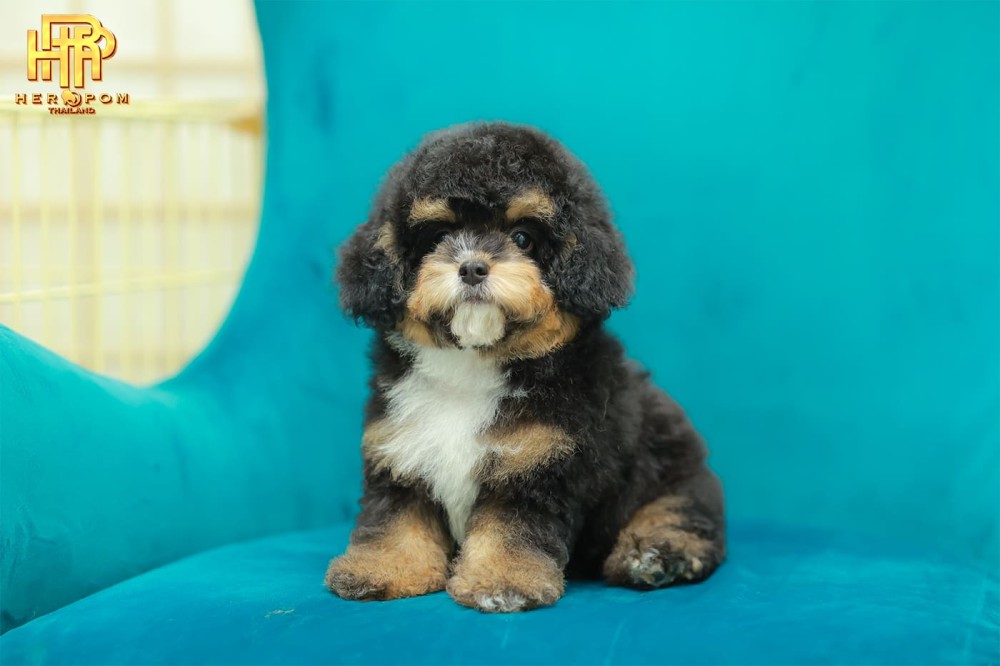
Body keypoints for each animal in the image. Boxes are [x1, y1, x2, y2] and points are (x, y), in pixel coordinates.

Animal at [325, 122, 725, 613]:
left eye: (522, 238)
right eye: (438, 235)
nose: (472, 267)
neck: (471, 367)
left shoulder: (536, 463)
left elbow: (510, 529)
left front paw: (502, 582)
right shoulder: (400, 449)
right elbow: (396, 517)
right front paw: (381, 568)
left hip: (674, 475)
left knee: (681, 515)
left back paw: (655, 556)